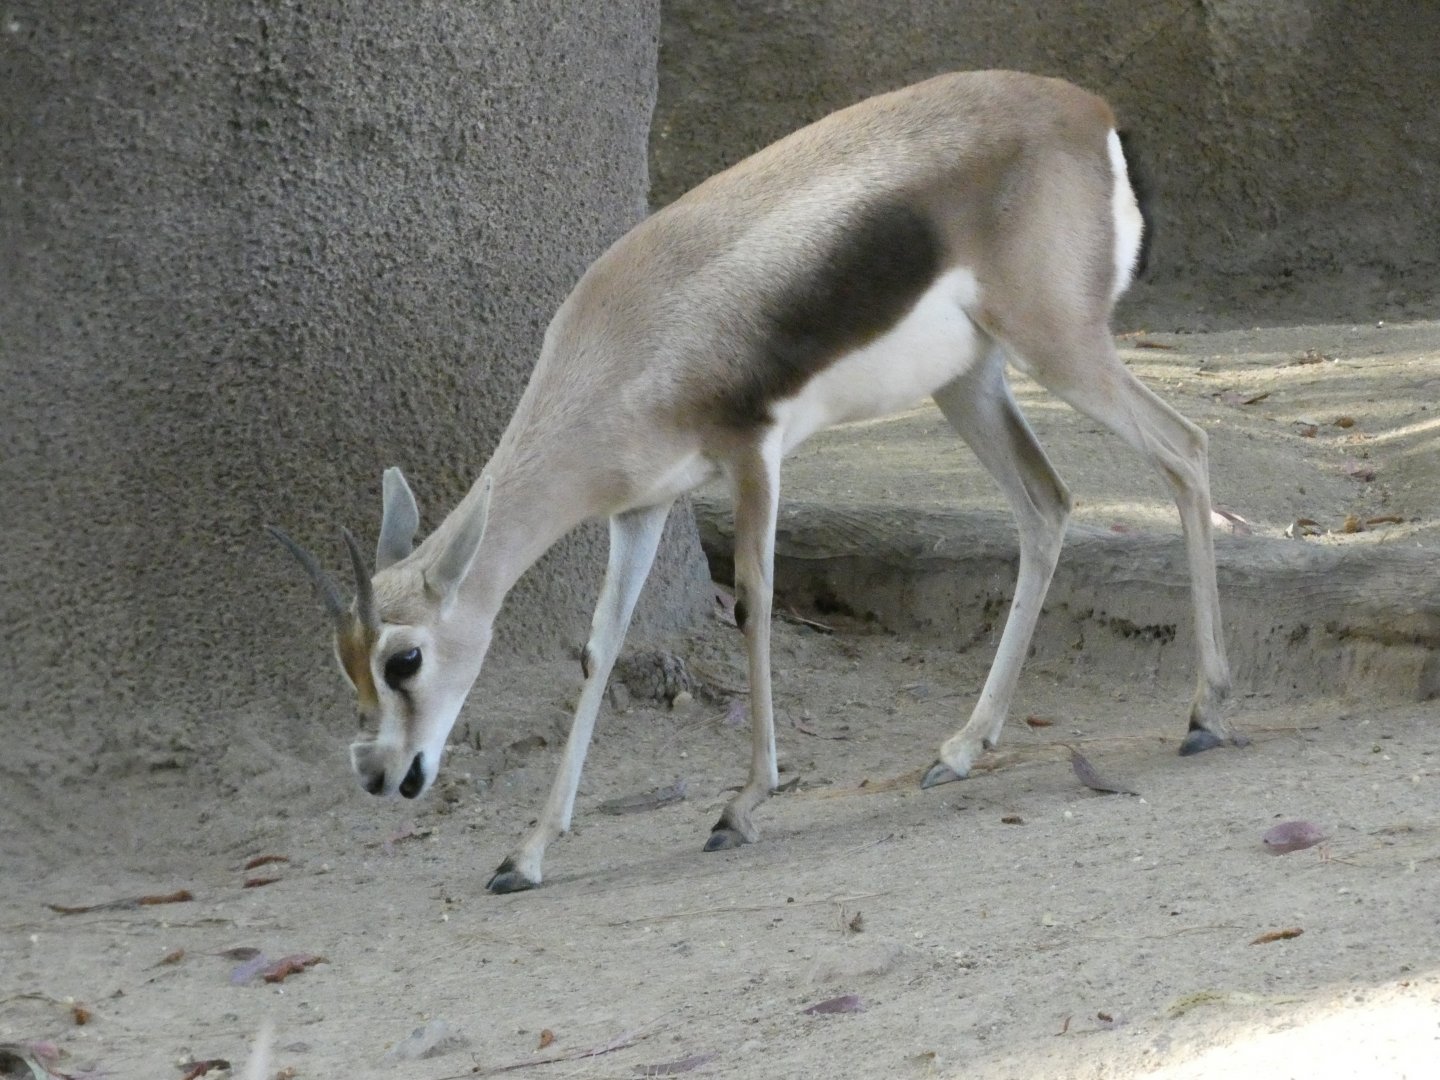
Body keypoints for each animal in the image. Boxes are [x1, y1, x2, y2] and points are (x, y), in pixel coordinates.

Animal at [272, 70, 1241, 894]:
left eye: (404, 658)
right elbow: (601, 647)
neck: (629, 338)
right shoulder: (643, 506)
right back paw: (961, 749)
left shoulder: (754, 451)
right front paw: (528, 852)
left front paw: (739, 808)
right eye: (343, 660)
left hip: (1059, 348)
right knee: (1047, 505)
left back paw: (1206, 715)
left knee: (1185, 448)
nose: (379, 773)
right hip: (969, 381)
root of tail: (1090, 110)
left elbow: (755, 604)